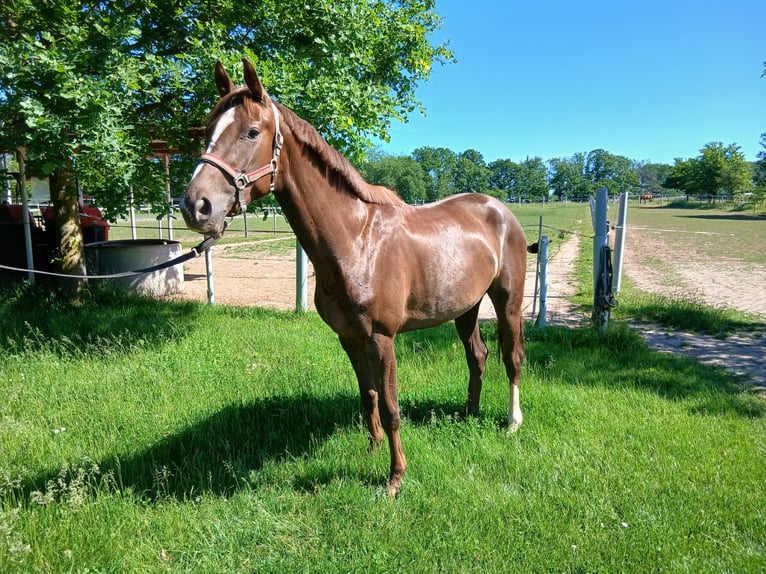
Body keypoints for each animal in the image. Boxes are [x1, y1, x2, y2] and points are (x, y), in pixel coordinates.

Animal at [180, 59, 531, 496]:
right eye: (208, 130)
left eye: (252, 131)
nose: (195, 205)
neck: (356, 240)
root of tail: (501, 210)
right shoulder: (349, 338)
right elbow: (369, 397)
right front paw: (371, 451)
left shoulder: (383, 339)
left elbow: (392, 405)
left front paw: (395, 478)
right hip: (464, 308)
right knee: (477, 356)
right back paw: (469, 414)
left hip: (507, 300)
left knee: (511, 357)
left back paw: (512, 424)